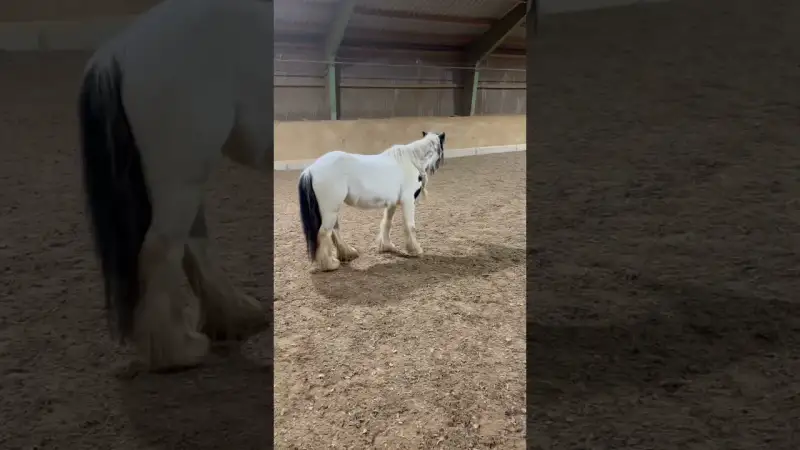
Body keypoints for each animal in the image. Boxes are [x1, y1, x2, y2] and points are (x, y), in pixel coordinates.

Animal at [78, 0, 272, 372]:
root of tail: (118, 50)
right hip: (183, 177)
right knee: (162, 249)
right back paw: (177, 351)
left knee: (191, 244)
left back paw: (232, 318)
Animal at [297, 131, 446, 272]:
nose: (436, 166)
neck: (411, 160)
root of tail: (310, 170)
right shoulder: (408, 201)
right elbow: (410, 226)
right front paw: (415, 250)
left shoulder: (391, 203)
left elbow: (387, 223)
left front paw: (387, 246)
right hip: (330, 209)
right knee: (324, 233)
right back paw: (330, 264)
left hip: (332, 209)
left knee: (334, 231)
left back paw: (347, 253)